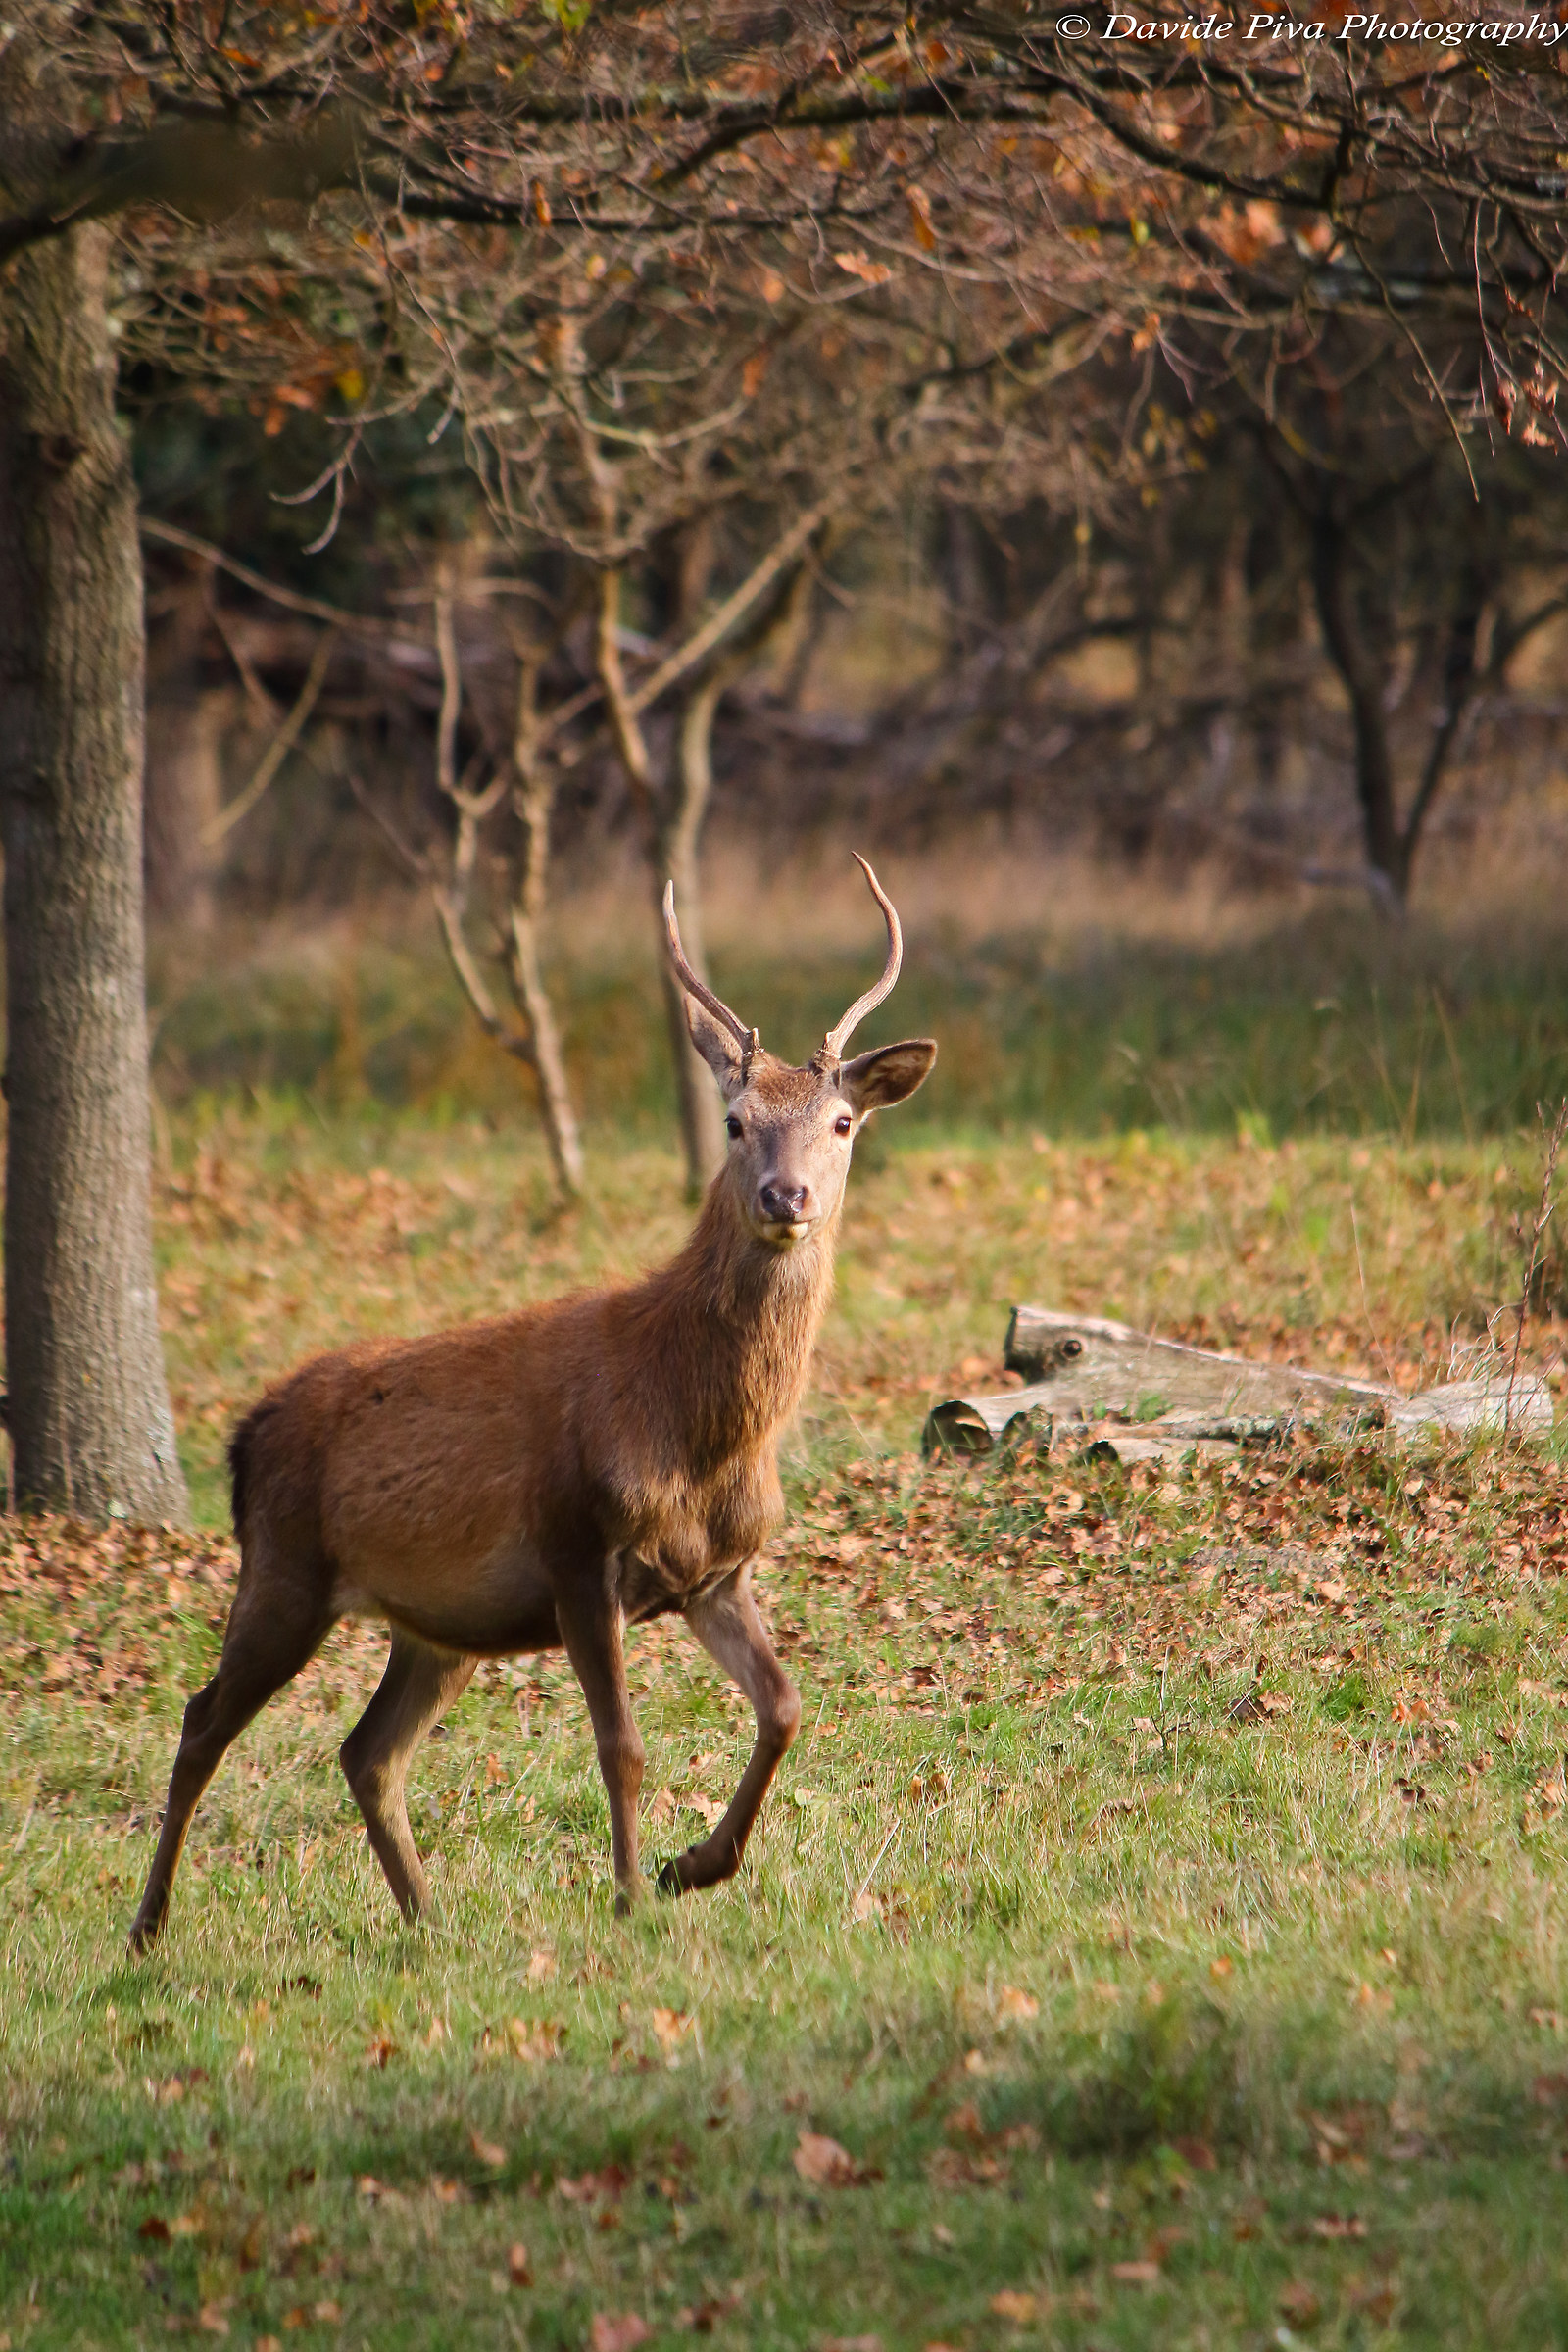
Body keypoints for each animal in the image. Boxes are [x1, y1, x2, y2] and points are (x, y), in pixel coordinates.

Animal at [128, 858, 935, 1950]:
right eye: (735, 1122)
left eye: (842, 1123)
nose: (786, 1197)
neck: (700, 1431)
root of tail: (245, 1436)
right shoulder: (575, 1545)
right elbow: (621, 1743)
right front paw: (633, 1895)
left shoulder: (716, 1572)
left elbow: (784, 1706)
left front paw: (696, 1866)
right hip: (285, 1572)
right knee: (201, 1718)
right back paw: (148, 1926)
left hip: (436, 1627)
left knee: (366, 1751)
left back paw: (428, 1921)